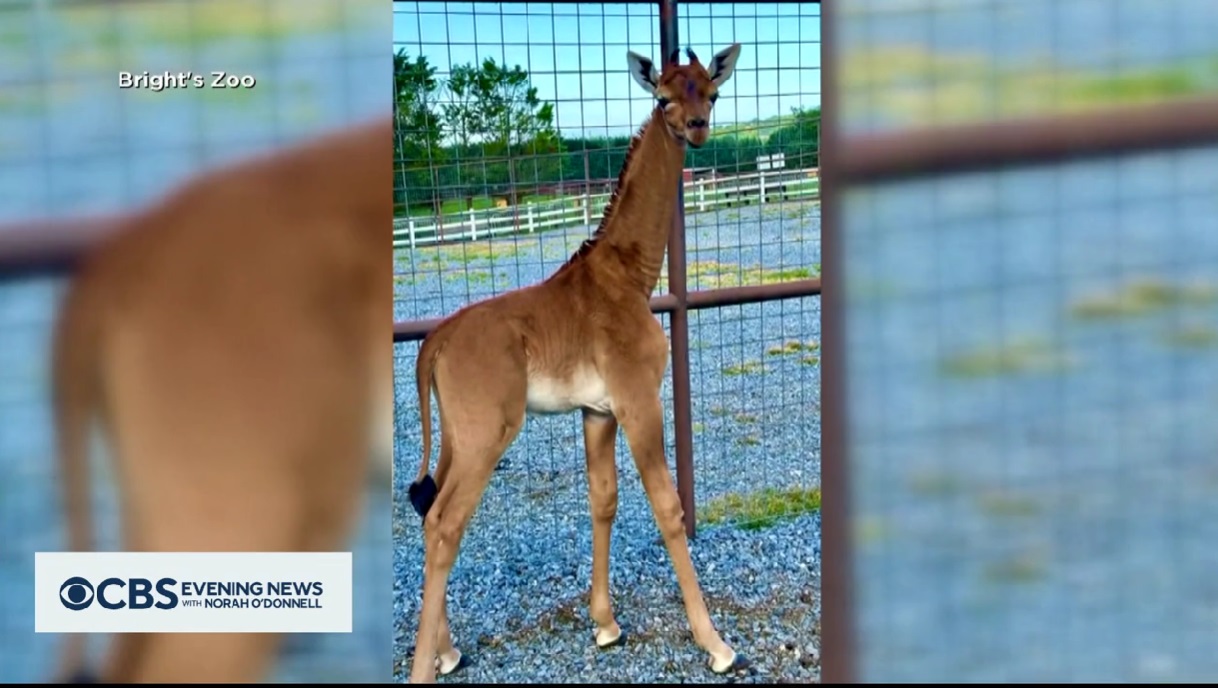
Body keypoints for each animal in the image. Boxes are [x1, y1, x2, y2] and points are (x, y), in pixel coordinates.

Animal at [406, 44, 740, 681]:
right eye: (664, 97)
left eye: (711, 92)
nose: (696, 128)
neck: (631, 276)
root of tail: (434, 342)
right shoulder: (638, 399)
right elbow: (668, 507)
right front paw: (715, 643)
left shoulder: (597, 410)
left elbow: (602, 499)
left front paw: (606, 624)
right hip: (487, 433)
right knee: (444, 523)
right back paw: (426, 664)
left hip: (457, 434)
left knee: (429, 507)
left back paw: (447, 649)